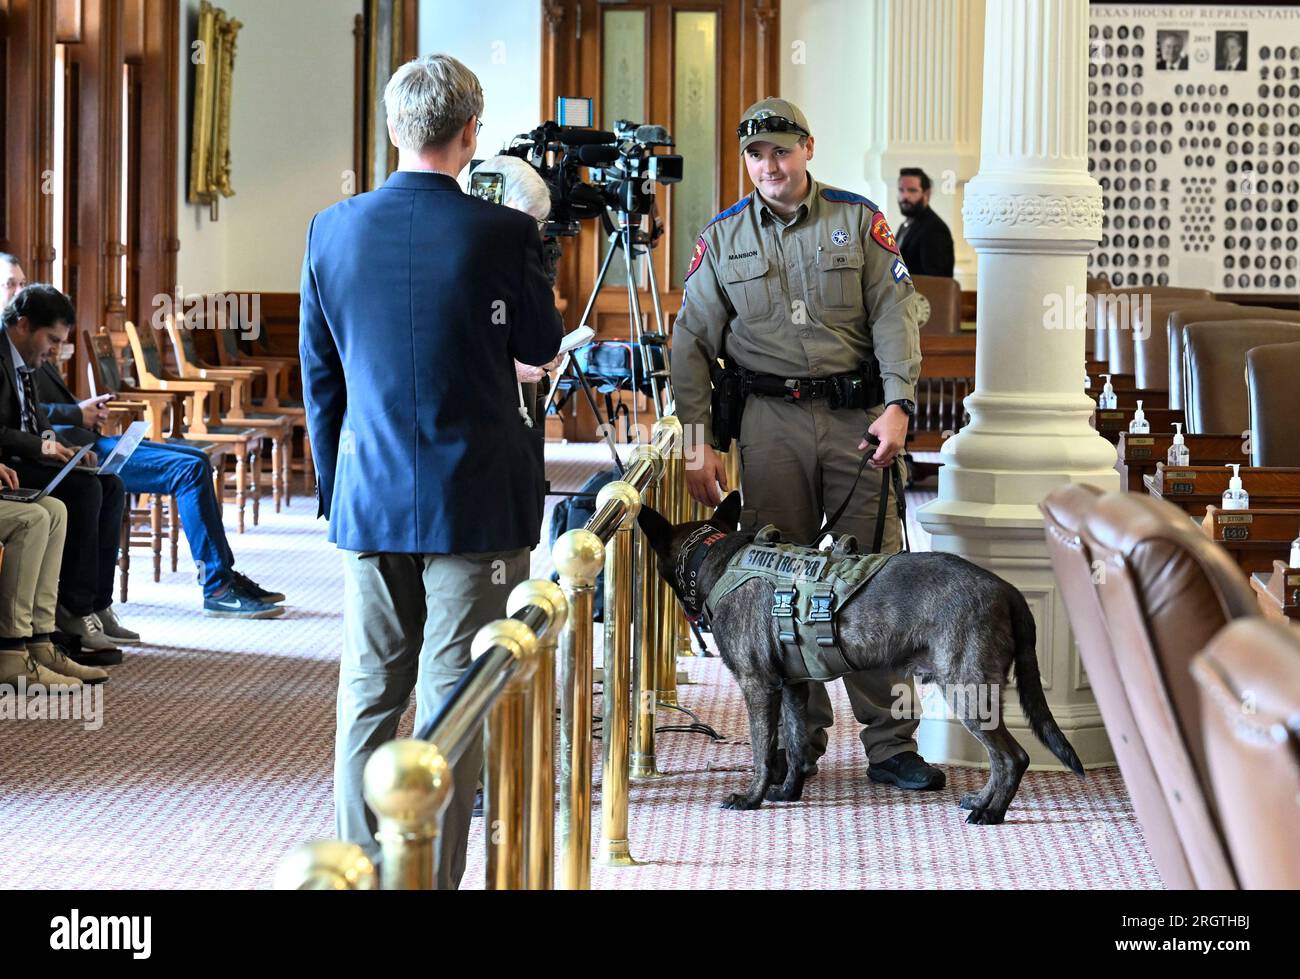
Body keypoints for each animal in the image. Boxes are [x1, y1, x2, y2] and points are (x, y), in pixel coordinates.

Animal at [634, 491, 1081, 821]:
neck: (714, 557)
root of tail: (1007, 588)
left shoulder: (758, 687)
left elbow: (762, 752)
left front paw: (751, 798)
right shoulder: (794, 688)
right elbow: (795, 746)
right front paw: (789, 792)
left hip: (966, 690)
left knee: (1012, 757)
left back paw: (992, 813)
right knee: (1002, 757)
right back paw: (982, 802)